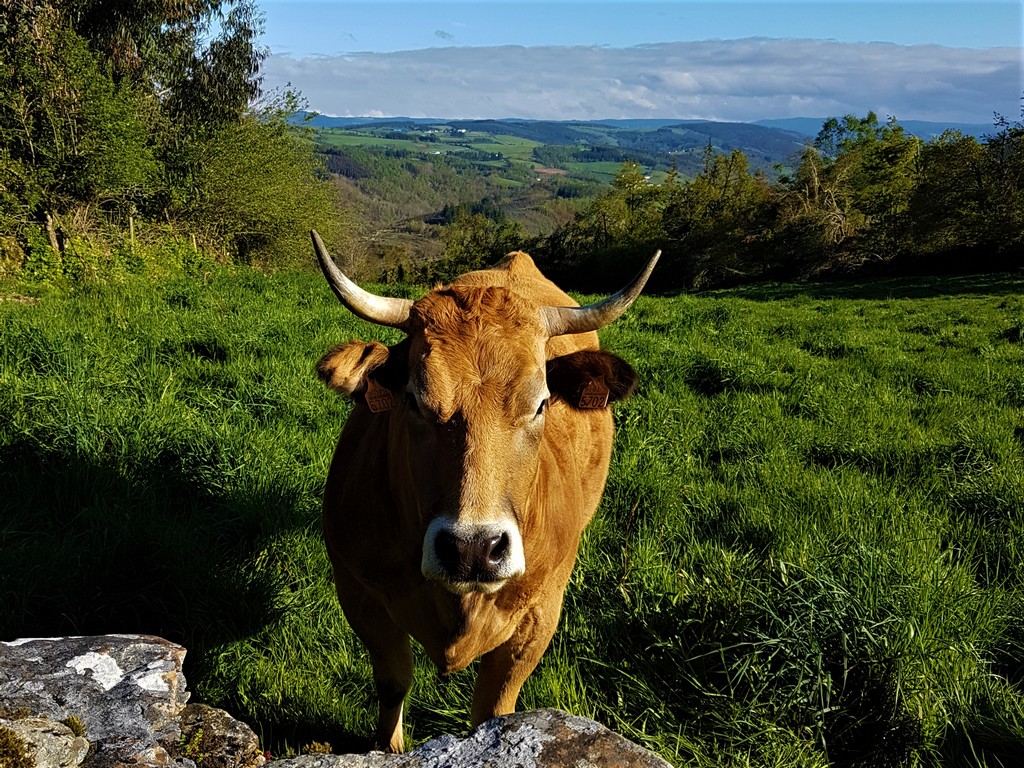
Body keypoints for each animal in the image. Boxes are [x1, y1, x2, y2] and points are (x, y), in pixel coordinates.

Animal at [311, 230, 659, 757]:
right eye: (414, 399)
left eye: (541, 404)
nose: (473, 549)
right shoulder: (359, 593)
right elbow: (393, 682)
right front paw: (388, 747)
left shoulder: (539, 616)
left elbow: (496, 710)